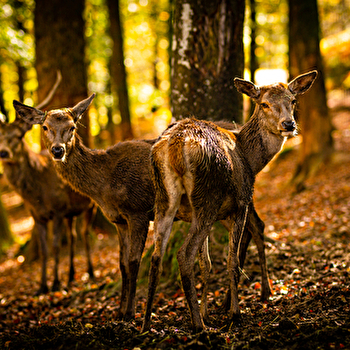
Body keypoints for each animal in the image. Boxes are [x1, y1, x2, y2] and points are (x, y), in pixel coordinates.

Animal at [0, 77, 95, 296]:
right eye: (44, 127)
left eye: (18, 136)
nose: (4, 152)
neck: (36, 195)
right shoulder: (37, 215)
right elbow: (44, 251)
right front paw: (42, 286)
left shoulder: (58, 210)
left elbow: (55, 247)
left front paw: (56, 284)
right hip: (71, 213)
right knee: (73, 236)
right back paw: (71, 275)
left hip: (90, 206)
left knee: (84, 234)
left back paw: (90, 272)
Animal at [13, 93, 270, 322]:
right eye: (44, 127)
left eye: (72, 126)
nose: (58, 150)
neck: (104, 186)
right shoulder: (118, 221)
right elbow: (122, 264)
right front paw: (119, 311)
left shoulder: (137, 212)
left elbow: (134, 262)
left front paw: (129, 313)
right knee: (251, 229)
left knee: (256, 226)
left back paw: (260, 294)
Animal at [142, 69, 318, 332]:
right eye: (264, 104)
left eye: (293, 100)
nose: (289, 124)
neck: (251, 160)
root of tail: (176, 145)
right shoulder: (242, 202)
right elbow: (232, 260)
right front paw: (234, 314)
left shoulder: (200, 214)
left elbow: (206, 264)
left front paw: (208, 312)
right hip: (208, 196)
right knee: (184, 254)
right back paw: (198, 326)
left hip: (165, 200)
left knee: (156, 257)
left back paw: (146, 325)